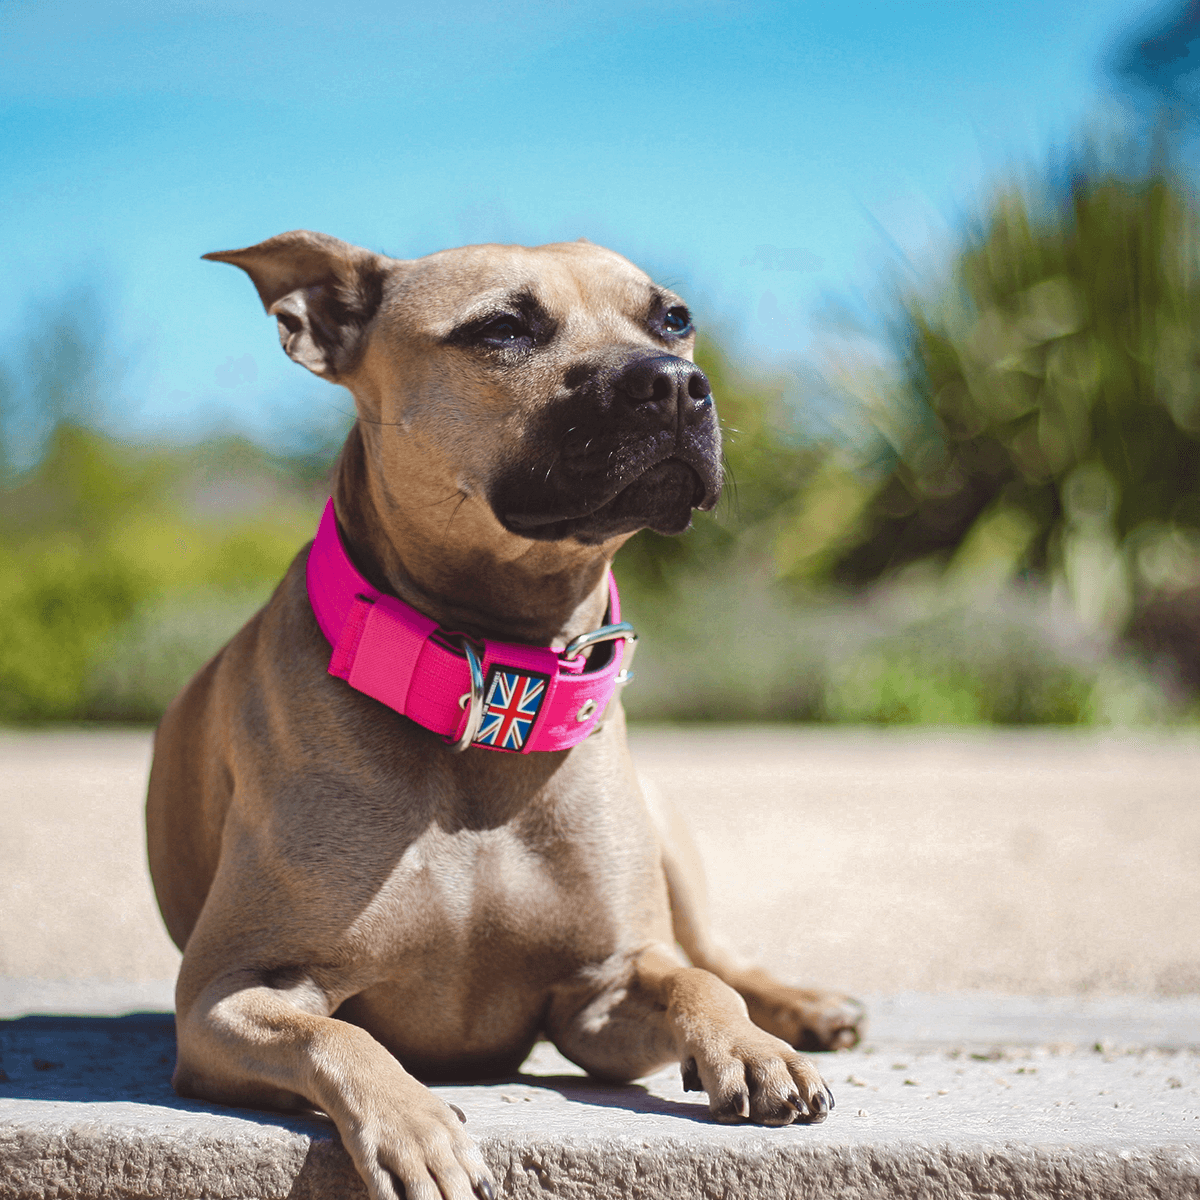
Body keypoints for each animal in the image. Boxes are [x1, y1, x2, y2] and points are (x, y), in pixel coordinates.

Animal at [147, 231, 864, 1200]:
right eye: (501, 330)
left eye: (674, 318)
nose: (676, 382)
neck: (490, 690)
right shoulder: (225, 996)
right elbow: (337, 1033)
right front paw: (417, 1126)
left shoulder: (599, 992)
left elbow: (695, 985)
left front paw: (752, 1047)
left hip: (664, 824)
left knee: (714, 954)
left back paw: (804, 1008)